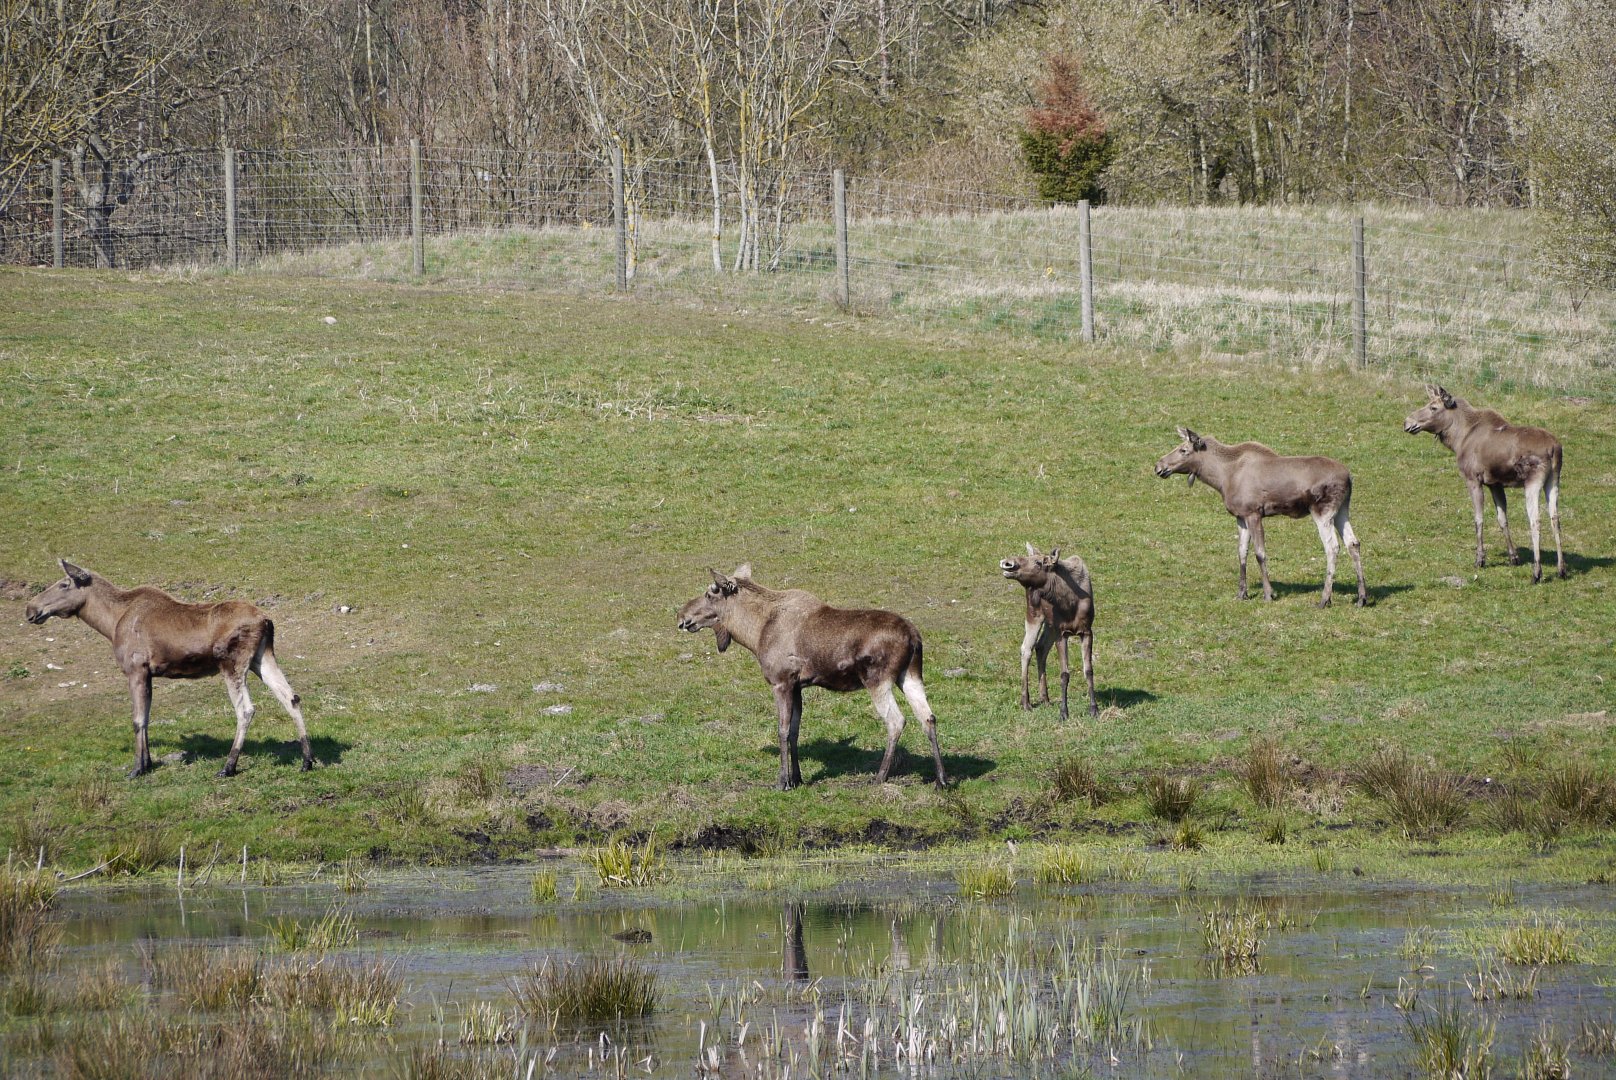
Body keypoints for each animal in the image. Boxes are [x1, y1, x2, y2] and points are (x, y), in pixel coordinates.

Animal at [23, 560, 314, 778]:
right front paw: (148, 763)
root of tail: (266, 620)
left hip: (231, 663)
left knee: (246, 709)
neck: (109, 622)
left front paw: (137, 769)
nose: (30, 609)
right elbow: (147, 718)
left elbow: (138, 719)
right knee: (291, 697)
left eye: (64, 584)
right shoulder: (148, 673)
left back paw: (228, 766)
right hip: (261, 658)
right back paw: (307, 761)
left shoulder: (136, 668)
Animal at [677, 565, 946, 791]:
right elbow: (795, 731)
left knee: (896, 720)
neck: (755, 633)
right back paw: (941, 779)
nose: (682, 617)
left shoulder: (781, 682)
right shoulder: (797, 686)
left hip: (877, 680)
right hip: (909, 675)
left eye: (710, 592)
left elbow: (783, 730)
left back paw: (879, 777)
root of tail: (914, 637)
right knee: (928, 717)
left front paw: (782, 782)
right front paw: (797, 778)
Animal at [998, 544, 1097, 719]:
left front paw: (1094, 709)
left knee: (1041, 647)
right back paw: (1026, 702)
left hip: (1050, 626)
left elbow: (1089, 670)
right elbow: (1064, 673)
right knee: (1026, 648)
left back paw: (1045, 698)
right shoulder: (1062, 634)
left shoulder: (1086, 631)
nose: (1007, 563)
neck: (1070, 602)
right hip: (1034, 615)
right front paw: (1064, 712)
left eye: (1039, 562)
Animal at [1154, 427, 1367, 606]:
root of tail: (1349, 478)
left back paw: (1324, 599)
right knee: (1353, 543)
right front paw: (1242, 593)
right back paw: (1361, 598)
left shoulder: (1253, 513)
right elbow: (1241, 552)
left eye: (1183, 450)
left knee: (1332, 547)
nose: (1158, 466)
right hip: (1342, 510)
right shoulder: (1240, 516)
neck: (1221, 477)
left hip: (1322, 510)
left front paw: (1268, 594)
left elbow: (1260, 553)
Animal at [1403, 385, 1565, 582]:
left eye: (1433, 407)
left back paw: (1537, 572)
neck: (1458, 438)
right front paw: (1513, 557)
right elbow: (1502, 519)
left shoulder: (1473, 479)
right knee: (1555, 518)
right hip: (1554, 479)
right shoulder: (1495, 484)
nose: (1407, 422)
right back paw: (1561, 569)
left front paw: (1480, 559)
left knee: (1535, 520)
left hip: (1533, 481)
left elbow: (1478, 519)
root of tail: (1554, 449)